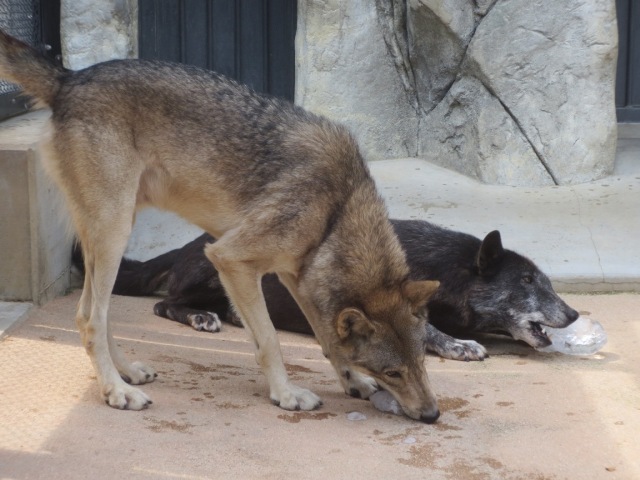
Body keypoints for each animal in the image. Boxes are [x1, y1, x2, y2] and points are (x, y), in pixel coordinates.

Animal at [0, 31, 440, 420]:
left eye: (421, 361)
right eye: (393, 372)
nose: (433, 415)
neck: (337, 209)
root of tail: (68, 78)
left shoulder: (296, 277)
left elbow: (328, 339)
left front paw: (353, 383)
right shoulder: (231, 259)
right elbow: (270, 340)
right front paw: (286, 395)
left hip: (110, 236)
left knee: (97, 315)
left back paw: (126, 374)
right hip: (113, 234)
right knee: (88, 318)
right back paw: (116, 392)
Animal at [75, 218, 580, 360]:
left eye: (546, 282)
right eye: (527, 281)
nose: (574, 314)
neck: (446, 269)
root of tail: (187, 243)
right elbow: (430, 331)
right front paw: (458, 344)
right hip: (214, 273)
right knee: (165, 305)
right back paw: (202, 317)